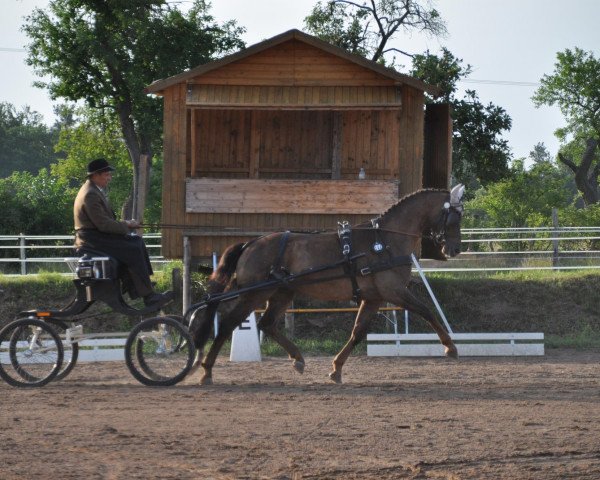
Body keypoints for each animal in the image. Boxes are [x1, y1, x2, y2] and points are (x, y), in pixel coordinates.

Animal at [190, 186, 466, 384]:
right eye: (456, 216)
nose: (454, 250)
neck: (385, 240)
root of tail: (251, 243)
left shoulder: (374, 298)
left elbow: (357, 332)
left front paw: (336, 369)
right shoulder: (394, 292)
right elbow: (426, 311)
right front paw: (450, 347)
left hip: (282, 293)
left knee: (267, 324)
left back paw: (298, 359)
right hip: (255, 294)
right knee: (228, 324)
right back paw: (207, 371)